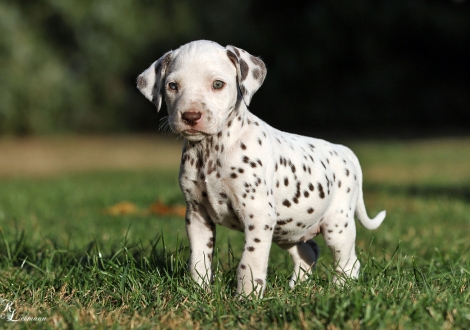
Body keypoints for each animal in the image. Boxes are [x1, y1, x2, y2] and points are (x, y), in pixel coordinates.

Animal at [137, 40, 386, 298]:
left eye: (218, 84)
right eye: (172, 86)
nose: (191, 116)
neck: (212, 151)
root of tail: (345, 151)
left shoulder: (258, 214)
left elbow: (250, 260)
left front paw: (247, 297)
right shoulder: (197, 214)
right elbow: (199, 258)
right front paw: (199, 292)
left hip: (337, 225)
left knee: (349, 261)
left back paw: (340, 289)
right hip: (288, 229)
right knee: (309, 252)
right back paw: (297, 287)